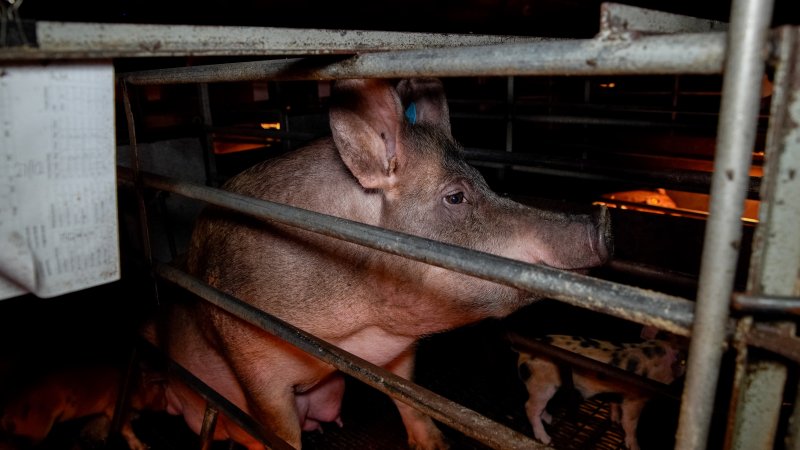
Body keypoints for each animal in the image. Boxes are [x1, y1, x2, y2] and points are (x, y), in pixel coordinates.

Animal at [0, 362, 166, 450]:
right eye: (162, 395)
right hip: (36, 430)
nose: (166, 407)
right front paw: (143, 446)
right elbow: (126, 427)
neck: (134, 385)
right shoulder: (114, 404)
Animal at [161, 78, 612, 450]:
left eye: (486, 182)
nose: (603, 222)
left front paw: (437, 445)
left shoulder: (398, 352)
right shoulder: (250, 354)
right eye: (455, 197)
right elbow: (278, 430)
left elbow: (407, 396)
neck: (356, 326)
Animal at [510, 330, 684, 450]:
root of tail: (523, 351)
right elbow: (631, 423)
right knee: (530, 407)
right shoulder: (636, 398)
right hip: (542, 385)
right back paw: (546, 439)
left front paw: (615, 420)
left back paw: (550, 419)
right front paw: (635, 447)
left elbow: (615, 404)